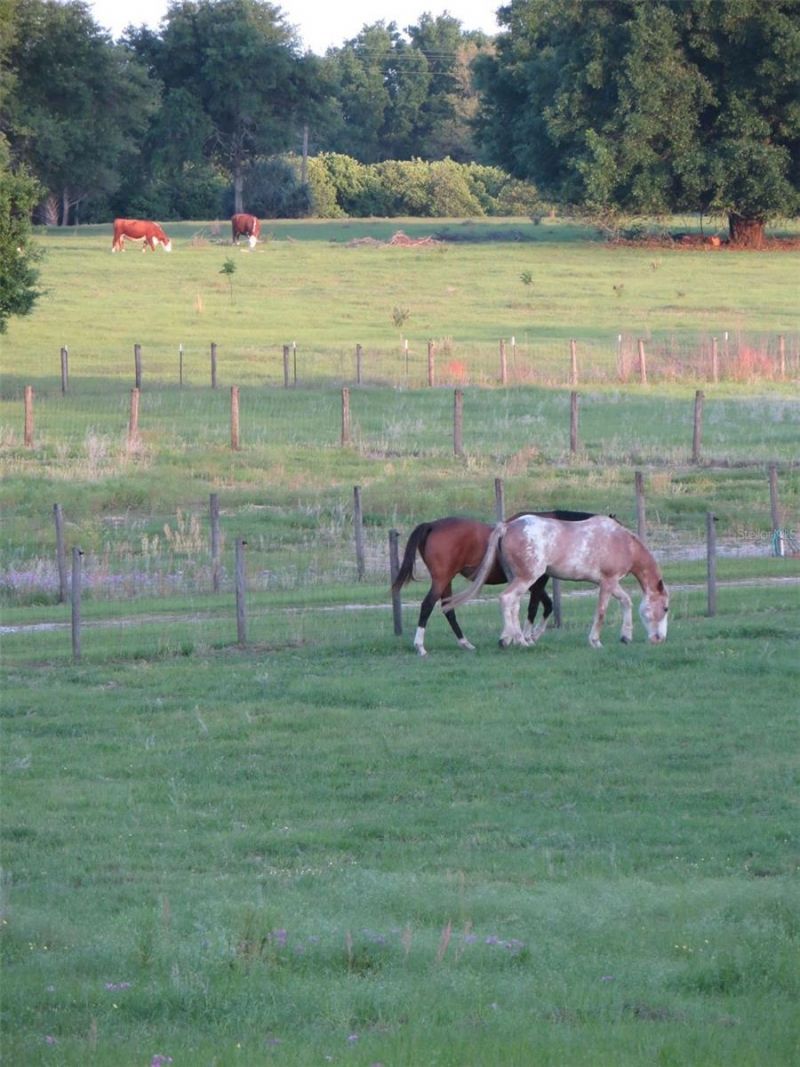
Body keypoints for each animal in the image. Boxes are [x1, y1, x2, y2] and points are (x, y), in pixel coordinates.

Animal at [391, 511, 596, 656]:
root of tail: (432, 525)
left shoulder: (530, 582)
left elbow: (542, 605)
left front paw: (515, 636)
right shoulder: (536, 582)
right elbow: (536, 608)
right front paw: (527, 637)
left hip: (445, 580)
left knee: (448, 609)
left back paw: (466, 643)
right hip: (441, 579)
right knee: (427, 605)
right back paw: (420, 646)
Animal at [444, 514, 669, 648]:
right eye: (666, 608)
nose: (659, 639)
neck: (623, 542)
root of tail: (508, 526)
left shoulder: (612, 583)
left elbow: (626, 601)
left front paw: (626, 636)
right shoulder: (607, 582)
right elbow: (601, 612)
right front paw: (595, 641)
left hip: (517, 578)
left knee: (514, 605)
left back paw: (513, 638)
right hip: (527, 578)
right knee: (506, 599)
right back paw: (518, 640)